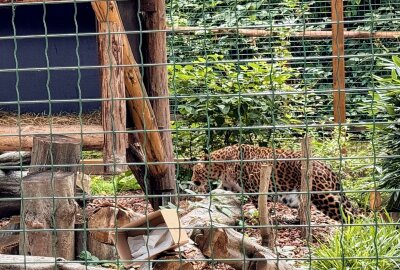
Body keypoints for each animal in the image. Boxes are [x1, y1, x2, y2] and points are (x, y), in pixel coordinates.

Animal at [191, 143, 362, 221]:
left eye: (195, 171)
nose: (192, 181)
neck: (223, 166)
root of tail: (325, 165)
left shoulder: (255, 190)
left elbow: (261, 209)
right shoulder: (228, 186)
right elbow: (218, 192)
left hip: (322, 195)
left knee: (351, 215)